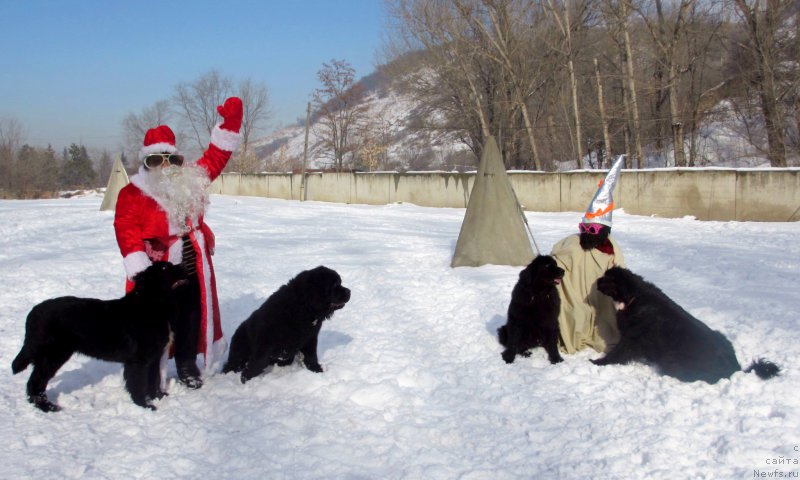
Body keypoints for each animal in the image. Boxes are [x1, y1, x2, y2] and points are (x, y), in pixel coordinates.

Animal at [11, 260, 189, 410]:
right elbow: (138, 384)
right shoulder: (138, 360)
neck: (152, 306)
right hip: (52, 355)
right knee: (35, 382)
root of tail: (33, 313)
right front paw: (145, 406)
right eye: (164, 268)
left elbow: (153, 380)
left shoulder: (153, 357)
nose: (184, 264)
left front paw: (159, 397)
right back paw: (48, 407)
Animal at [223, 266, 352, 382]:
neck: (304, 306)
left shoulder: (310, 337)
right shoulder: (265, 339)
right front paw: (246, 379)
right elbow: (259, 362)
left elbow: (311, 356)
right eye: (335, 285)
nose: (349, 291)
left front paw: (317, 370)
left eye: (340, 282)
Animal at [592, 266, 780, 382]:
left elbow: (617, 354)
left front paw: (597, 362)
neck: (633, 297)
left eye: (607, 279)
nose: (596, 281)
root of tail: (735, 368)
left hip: (672, 359)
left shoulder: (633, 338)